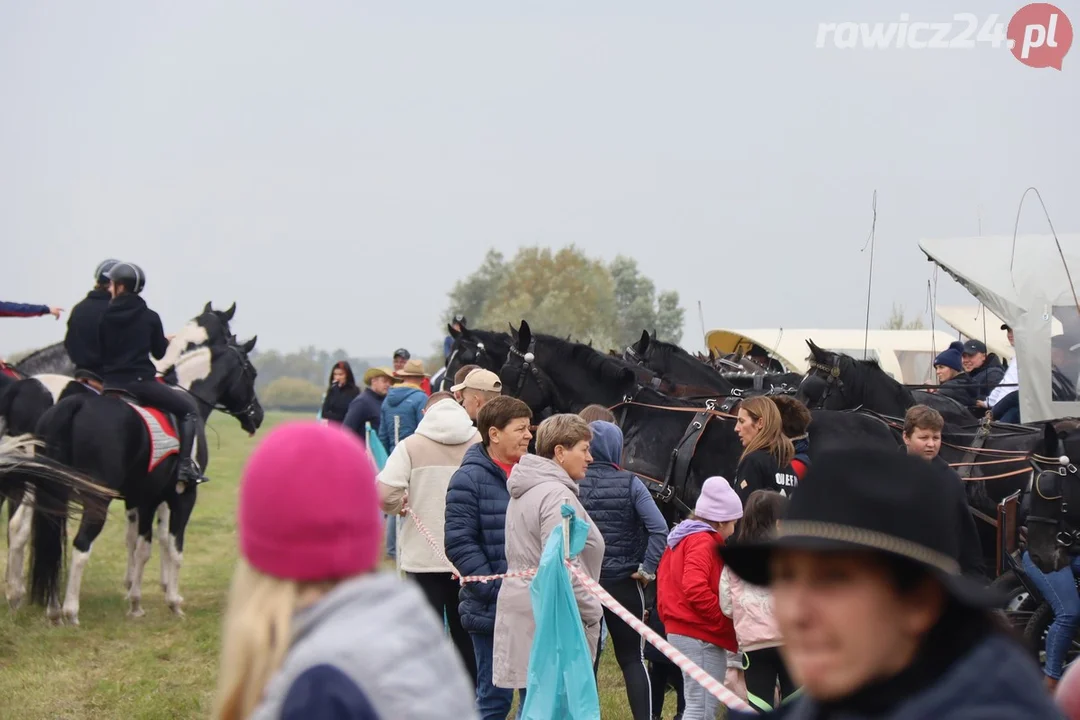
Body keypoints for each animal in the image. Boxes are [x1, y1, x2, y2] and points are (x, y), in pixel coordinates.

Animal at [27, 332, 263, 626]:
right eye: (251, 373)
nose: (258, 416)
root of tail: (77, 403)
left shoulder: (146, 498)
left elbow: (142, 548)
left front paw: (136, 603)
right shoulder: (183, 496)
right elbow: (174, 547)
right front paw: (174, 602)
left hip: (56, 494)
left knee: (52, 547)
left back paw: (53, 610)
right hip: (97, 498)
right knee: (81, 545)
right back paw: (70, 611)